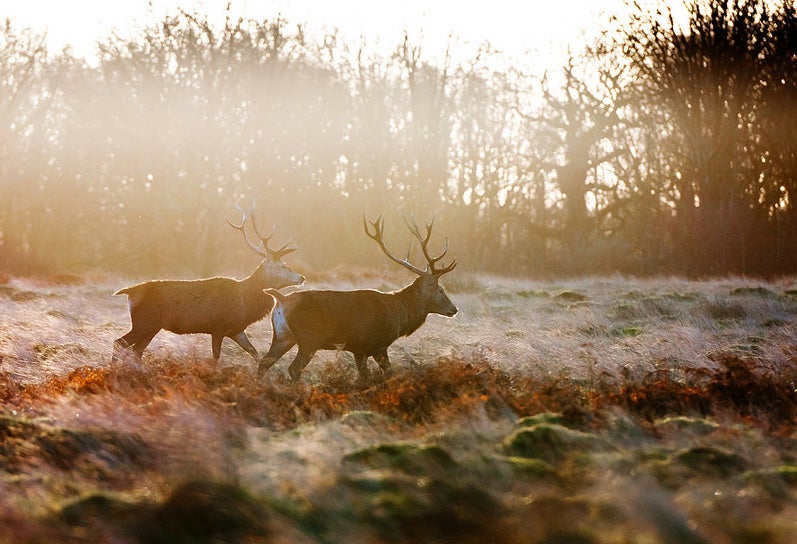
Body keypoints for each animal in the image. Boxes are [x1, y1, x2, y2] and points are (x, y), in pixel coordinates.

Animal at [113, 205, 306, 366]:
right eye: (283, 266)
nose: (302, 277)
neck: (245, 302)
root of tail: (130, 291)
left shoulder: (237, 330)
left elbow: (254, 352)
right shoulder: (218, 326)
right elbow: (215, 356)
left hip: (152, 326)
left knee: (136, 350)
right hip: (144, 322)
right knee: (120, 343)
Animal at [258, 215, 458, 384]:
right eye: (440, 290)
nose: (454, 309)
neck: (398, 314)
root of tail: (281, 300)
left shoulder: (358, 349)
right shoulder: (372, 345)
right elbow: (381, 374)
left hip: (283, 336)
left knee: (263, 363)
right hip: (309, 338)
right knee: (294, 368)